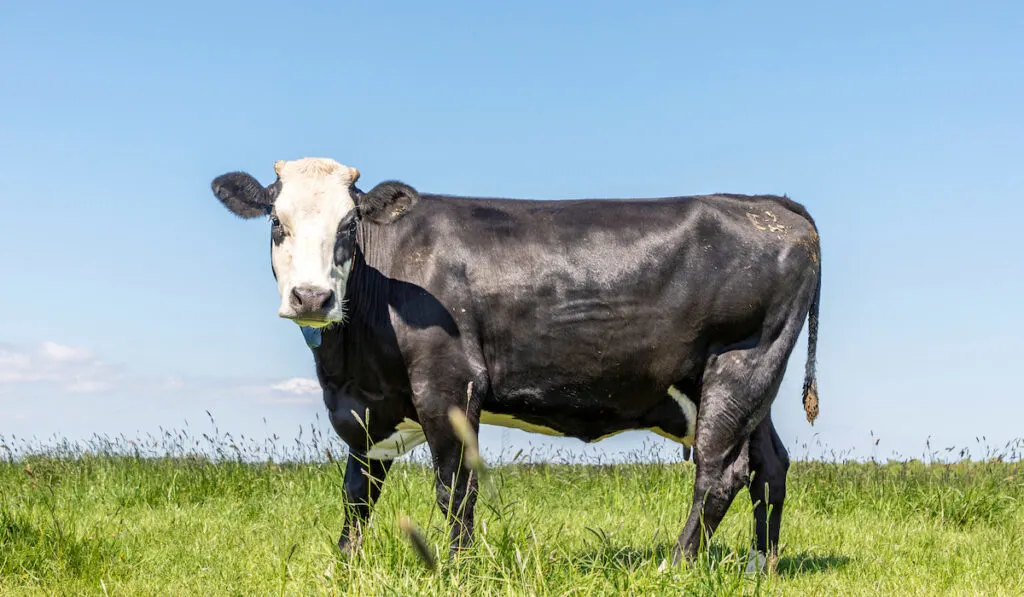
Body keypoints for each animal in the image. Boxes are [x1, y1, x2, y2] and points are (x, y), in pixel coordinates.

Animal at [209, 156, 823, 573]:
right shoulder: (367, 408)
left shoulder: (449, 385)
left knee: (720, 472)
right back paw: (761, 567)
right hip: (746, 387)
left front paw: (456, 569)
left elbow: (455, 489)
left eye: (348, 226)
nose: (312, 297)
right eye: (276, 223)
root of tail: (767, 204)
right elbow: (357, 494)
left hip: (742, 365)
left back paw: (677, 565)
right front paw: (344, 567)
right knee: (770, 465)